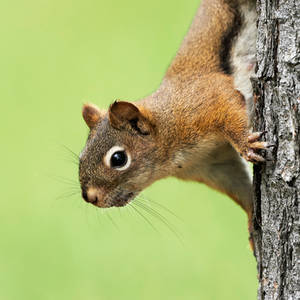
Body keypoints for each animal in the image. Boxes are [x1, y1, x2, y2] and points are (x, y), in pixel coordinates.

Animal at [78, 0, 268, 240]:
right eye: (81, 156)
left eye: (118, 159)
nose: (90, 197)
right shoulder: (215, 165)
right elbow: (240, 188)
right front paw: (252, 220)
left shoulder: (207, 101)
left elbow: (229, 111)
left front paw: (247, 145)